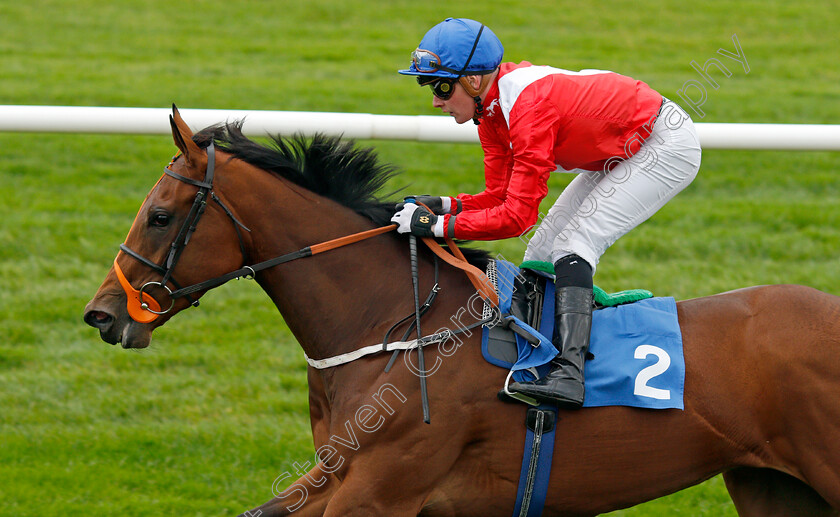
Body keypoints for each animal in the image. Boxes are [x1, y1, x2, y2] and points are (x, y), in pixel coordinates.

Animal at [83, 107, 840, 512]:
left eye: (158, 215)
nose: (102, 313)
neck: (394, 326)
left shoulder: (380, 491)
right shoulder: (334, 475)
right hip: (772, 485)